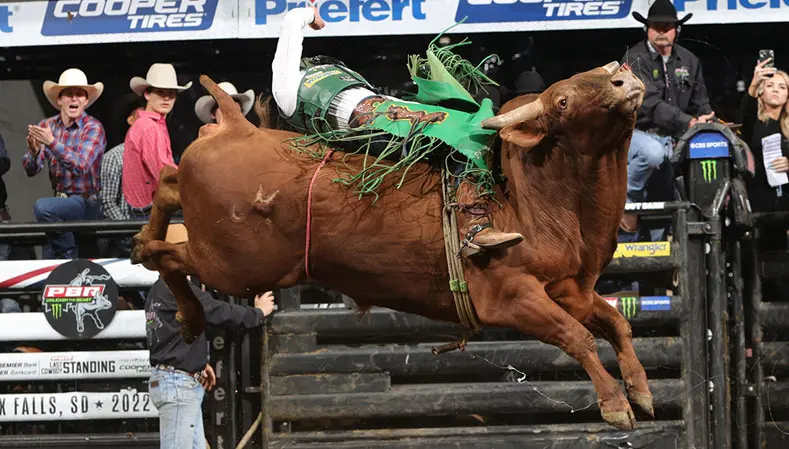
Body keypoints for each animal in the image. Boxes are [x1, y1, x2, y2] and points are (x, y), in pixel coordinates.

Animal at [134, 59, 648, 428]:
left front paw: (640, 391)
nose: (624, 78)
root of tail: (237, 126)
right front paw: (614, 405)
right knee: (170, 257)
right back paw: (181, 304)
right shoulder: (514, 296)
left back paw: (148, 248)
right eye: (562, 100)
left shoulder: (568, 290)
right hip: (232, 265)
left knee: (168, 182)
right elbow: (578, 336)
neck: (535, 197)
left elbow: (615, 324)